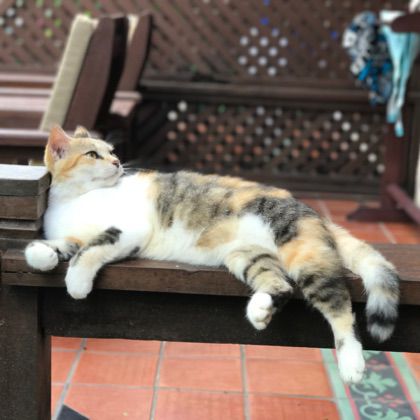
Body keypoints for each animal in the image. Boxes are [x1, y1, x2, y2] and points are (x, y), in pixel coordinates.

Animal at [25, 125, 399, 384]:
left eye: (112, 151)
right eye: (92, 154)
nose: (118, 162)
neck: (77, 200)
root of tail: (312, 210)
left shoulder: (128, 229)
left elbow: (91, 249)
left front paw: (77, 283)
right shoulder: (71, 234)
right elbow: (57, 247)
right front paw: (43, 255)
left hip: (302, 251)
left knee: (338, 305)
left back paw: (351, 363)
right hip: (246, 256)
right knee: (280, 286)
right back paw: (260, 310)